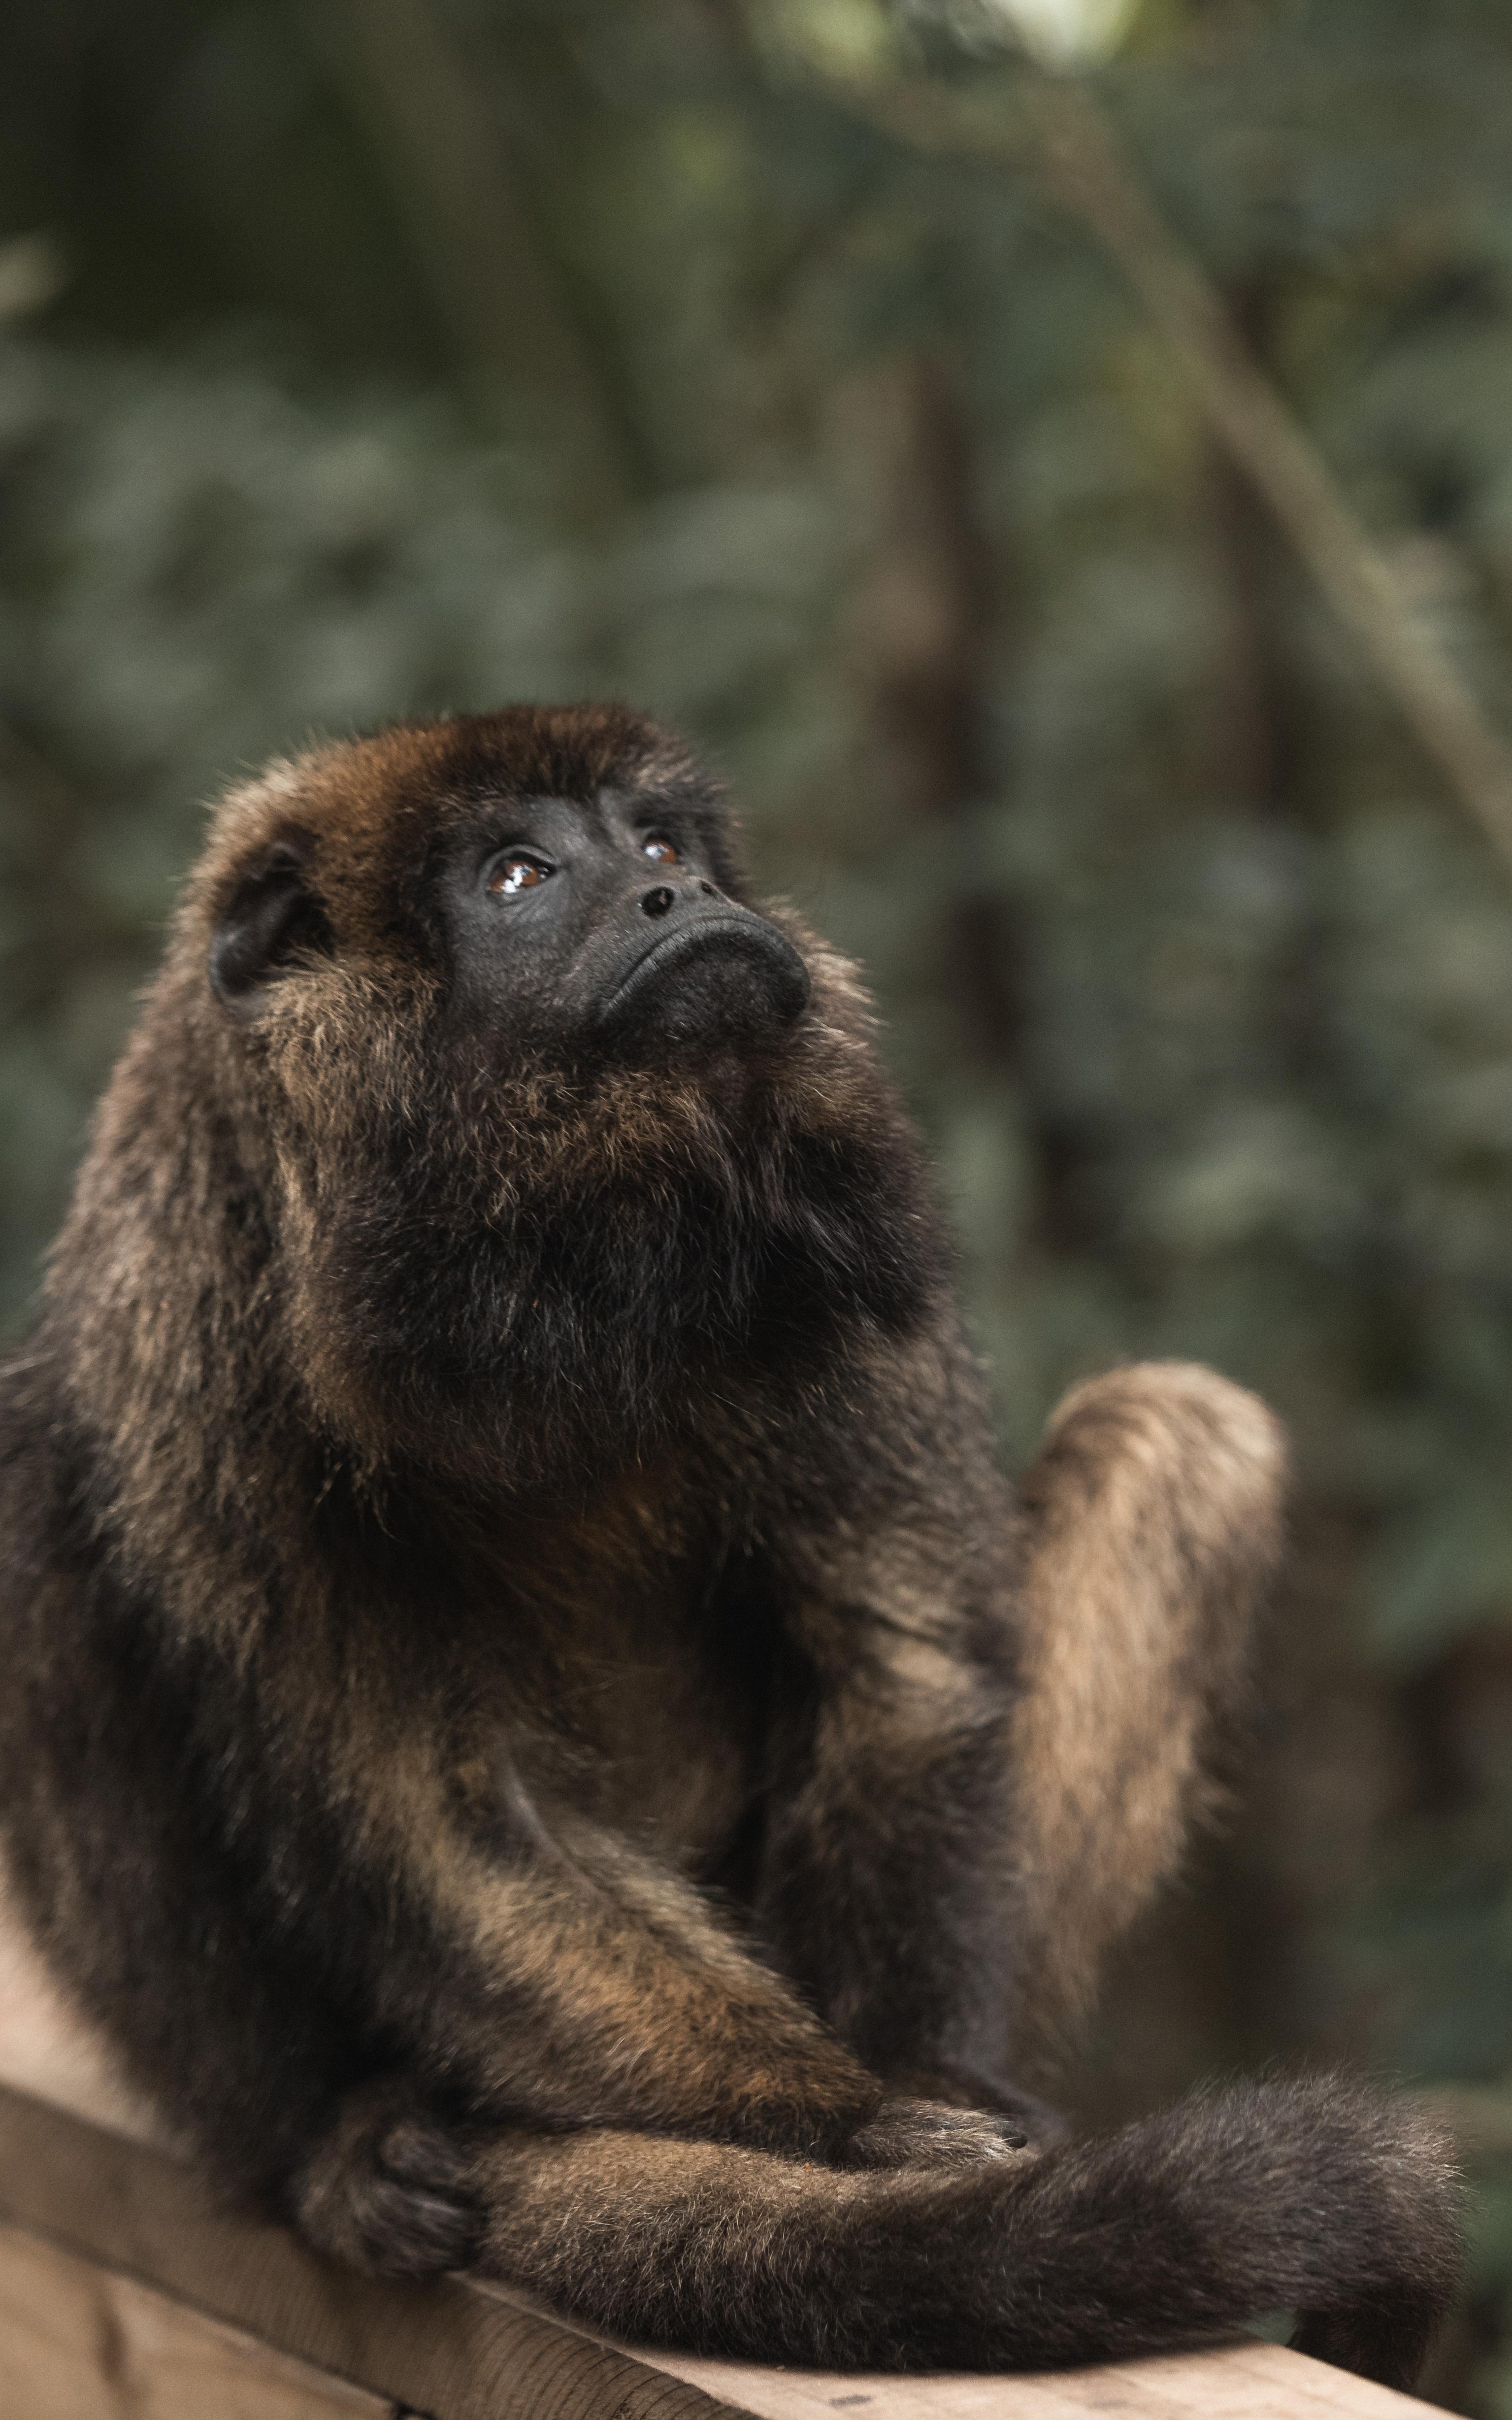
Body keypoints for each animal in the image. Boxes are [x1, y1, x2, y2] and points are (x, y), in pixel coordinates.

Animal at [0, 704, 1459, 2391]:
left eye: (657, 841)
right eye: (516, 873)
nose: (671, 895)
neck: (540, 1261)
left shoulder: (835, 1200)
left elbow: (904, 1667)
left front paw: (920, 2092)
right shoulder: (199, 1303)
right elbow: (437, 1814)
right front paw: (848, 2128)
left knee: (1182, 1436)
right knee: (39, 1520)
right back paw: (337, 2139)